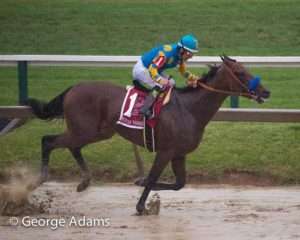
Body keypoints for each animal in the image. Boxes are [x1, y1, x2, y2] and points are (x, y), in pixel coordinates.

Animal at [25, 55, 270, 214]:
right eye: (240, 73)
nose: (265, 91)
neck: (189, 109)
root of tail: (74, 87)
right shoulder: (166, 151)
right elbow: (153, 178)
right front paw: (142, 203)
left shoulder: (179, 154)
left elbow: (179, 184)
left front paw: (141, 184)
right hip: (83, 130)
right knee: (48, 141)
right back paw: (38, 179)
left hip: (97, 132)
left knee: (70, 146)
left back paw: (84, 181)